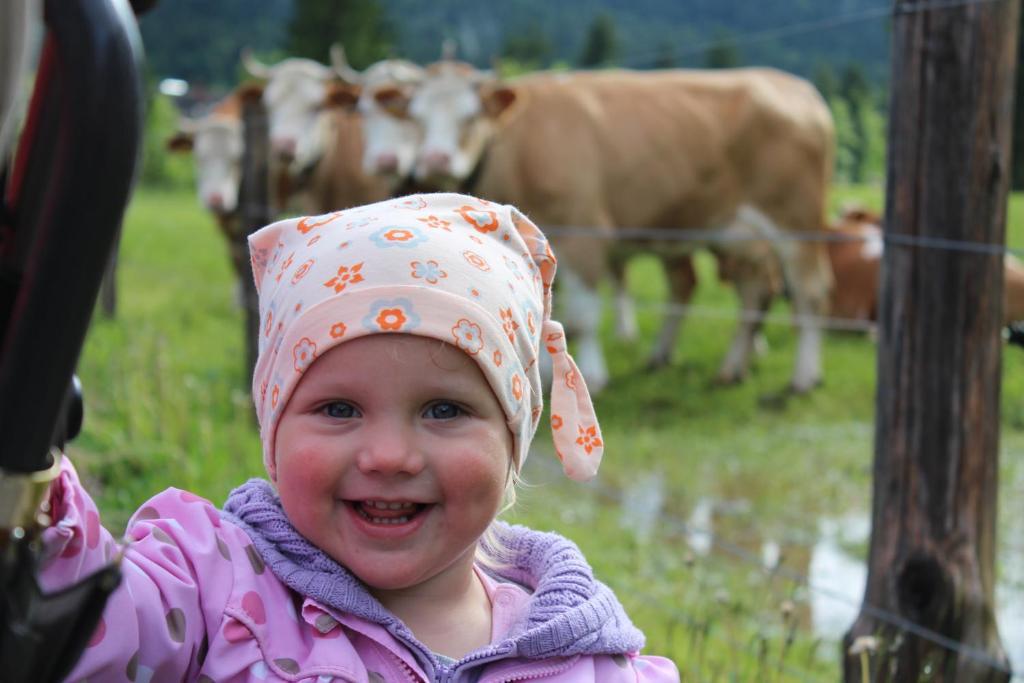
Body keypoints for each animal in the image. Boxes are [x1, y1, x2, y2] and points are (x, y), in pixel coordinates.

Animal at [399, 63, 831, 395]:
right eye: (416, 119)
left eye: (470, 116)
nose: (434, 159)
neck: (520, 149)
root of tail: (796, 86)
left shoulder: (583, 232)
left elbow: (581, 317)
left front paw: (590, 377)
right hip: (734, 235)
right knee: (752, 293)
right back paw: (728, 368)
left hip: (795, 225)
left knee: (808, 295)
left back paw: (802, 378)